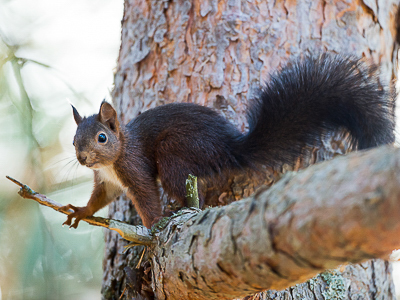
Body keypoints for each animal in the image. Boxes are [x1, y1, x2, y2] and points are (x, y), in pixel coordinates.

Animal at [61, 54, 396, 229]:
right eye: (74, 140)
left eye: (102, 137)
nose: (82, 158)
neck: (114, 159)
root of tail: (230, 150)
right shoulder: (107, 181)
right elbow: (99, 199)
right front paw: (81, 211)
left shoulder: (135, 167)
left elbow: (146, 197)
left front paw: (154, 224)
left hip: (175, 153)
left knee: (192, 193)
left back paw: (179, 209)